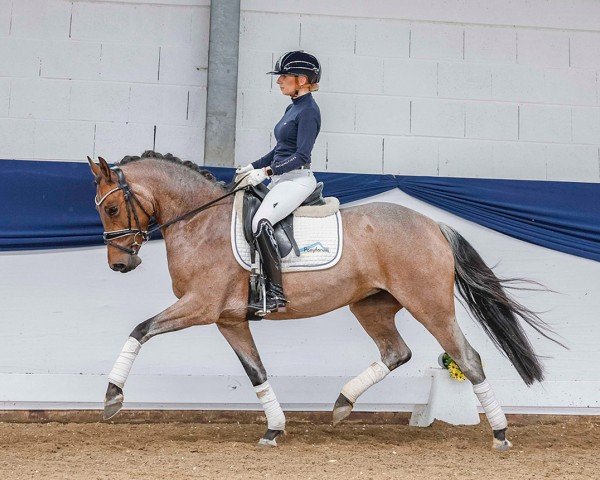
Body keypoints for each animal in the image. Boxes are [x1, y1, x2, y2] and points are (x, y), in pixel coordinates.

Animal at [88, 151, 556, 450]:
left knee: (467, 357)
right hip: (370, 305)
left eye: (110, 210)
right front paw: (274, 429)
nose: (120, 265)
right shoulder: (229, 319)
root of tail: (433, 226)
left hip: (430, 306)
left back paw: (500, 434)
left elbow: (140, 330)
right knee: (396, 352)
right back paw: (343, 403)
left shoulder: (200, 305)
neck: (201, 221)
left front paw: (112, 398)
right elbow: (256, 373)